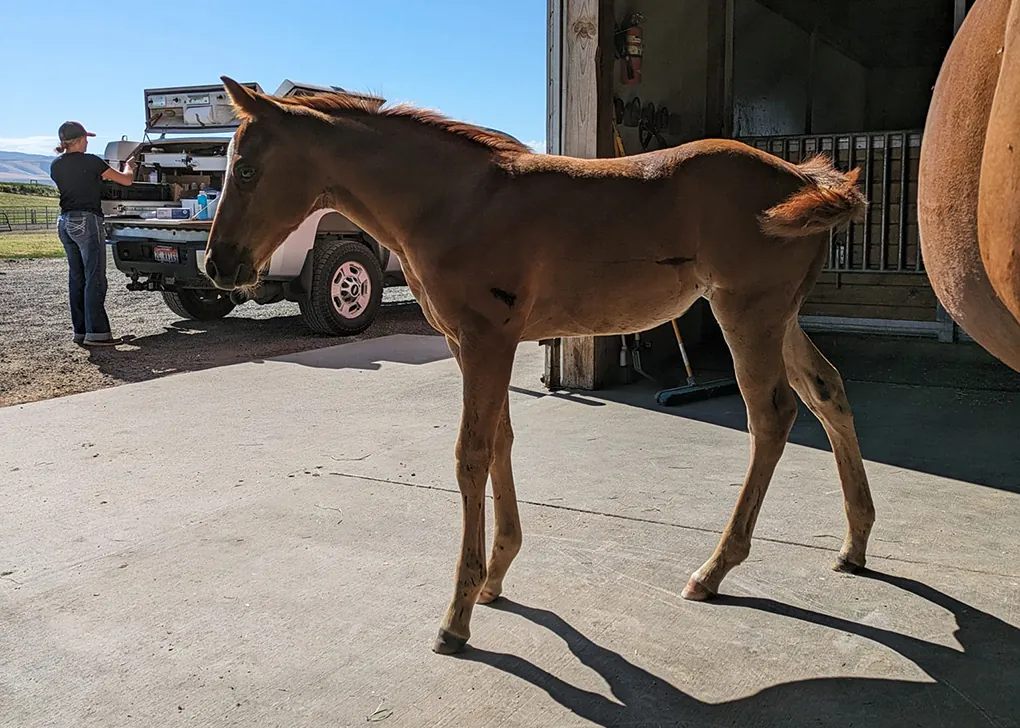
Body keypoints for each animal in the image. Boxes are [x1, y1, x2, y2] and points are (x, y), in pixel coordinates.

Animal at [205, 76, 876, 654]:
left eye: (246, 169)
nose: (218, 266)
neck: (453, 201)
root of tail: (804, 176)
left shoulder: (486, 341)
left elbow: (471, 455)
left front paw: (456, 616)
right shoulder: (473, 345)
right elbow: (501, 439)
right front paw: (496, 575)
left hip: (748, 315)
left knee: (772, 416)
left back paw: (713, 571)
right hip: (779, 319)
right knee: (828, 391)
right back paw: (854, 545)